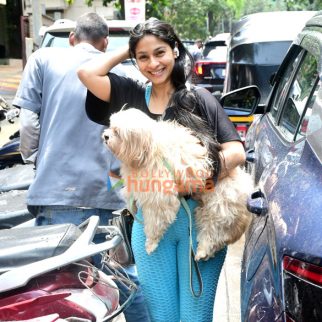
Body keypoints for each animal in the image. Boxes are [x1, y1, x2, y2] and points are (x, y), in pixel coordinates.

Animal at [104, 107, 253, 260]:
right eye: (111, 126)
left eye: (117, 132)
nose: (105, 136)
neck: (149, 149)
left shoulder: (160, 197)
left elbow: (155, 221)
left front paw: (151, 242)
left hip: (218, 208)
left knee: (213, 231)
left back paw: (202, 250)